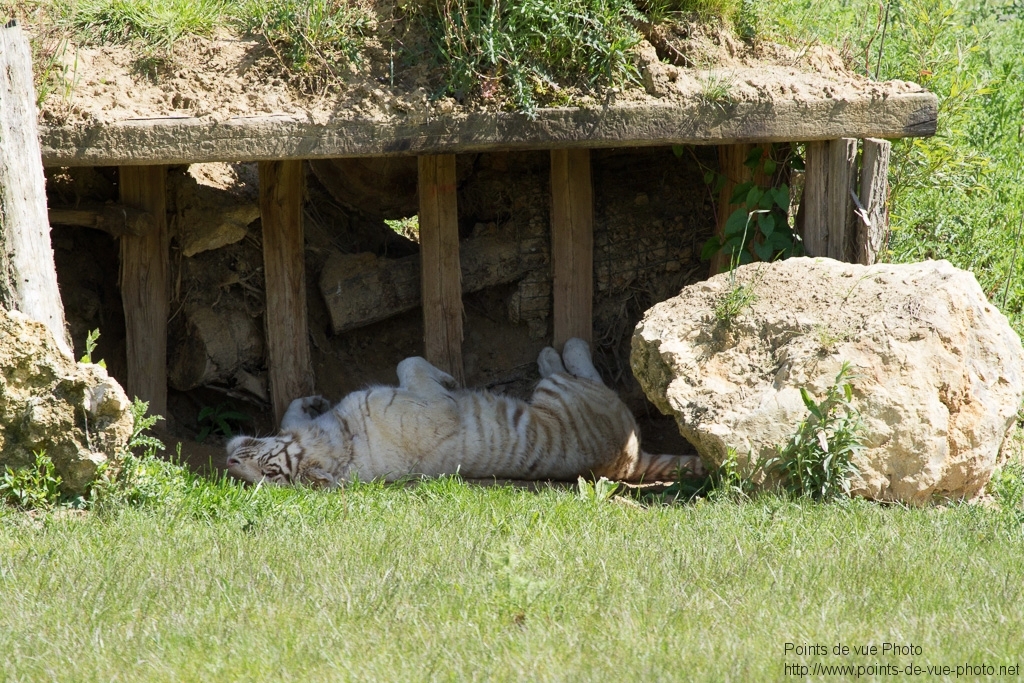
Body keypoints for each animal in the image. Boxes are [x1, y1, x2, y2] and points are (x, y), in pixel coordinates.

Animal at [225, 337, 704, 487]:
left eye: (269, 470)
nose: (229, 462)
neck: (337, 439)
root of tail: (630, 462)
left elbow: (292, 414)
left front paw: (311, 401)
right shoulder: (434, 407)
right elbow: (411, 365)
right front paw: (451, 380)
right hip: (561, 394)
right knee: (575, 371)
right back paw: (558, 349)